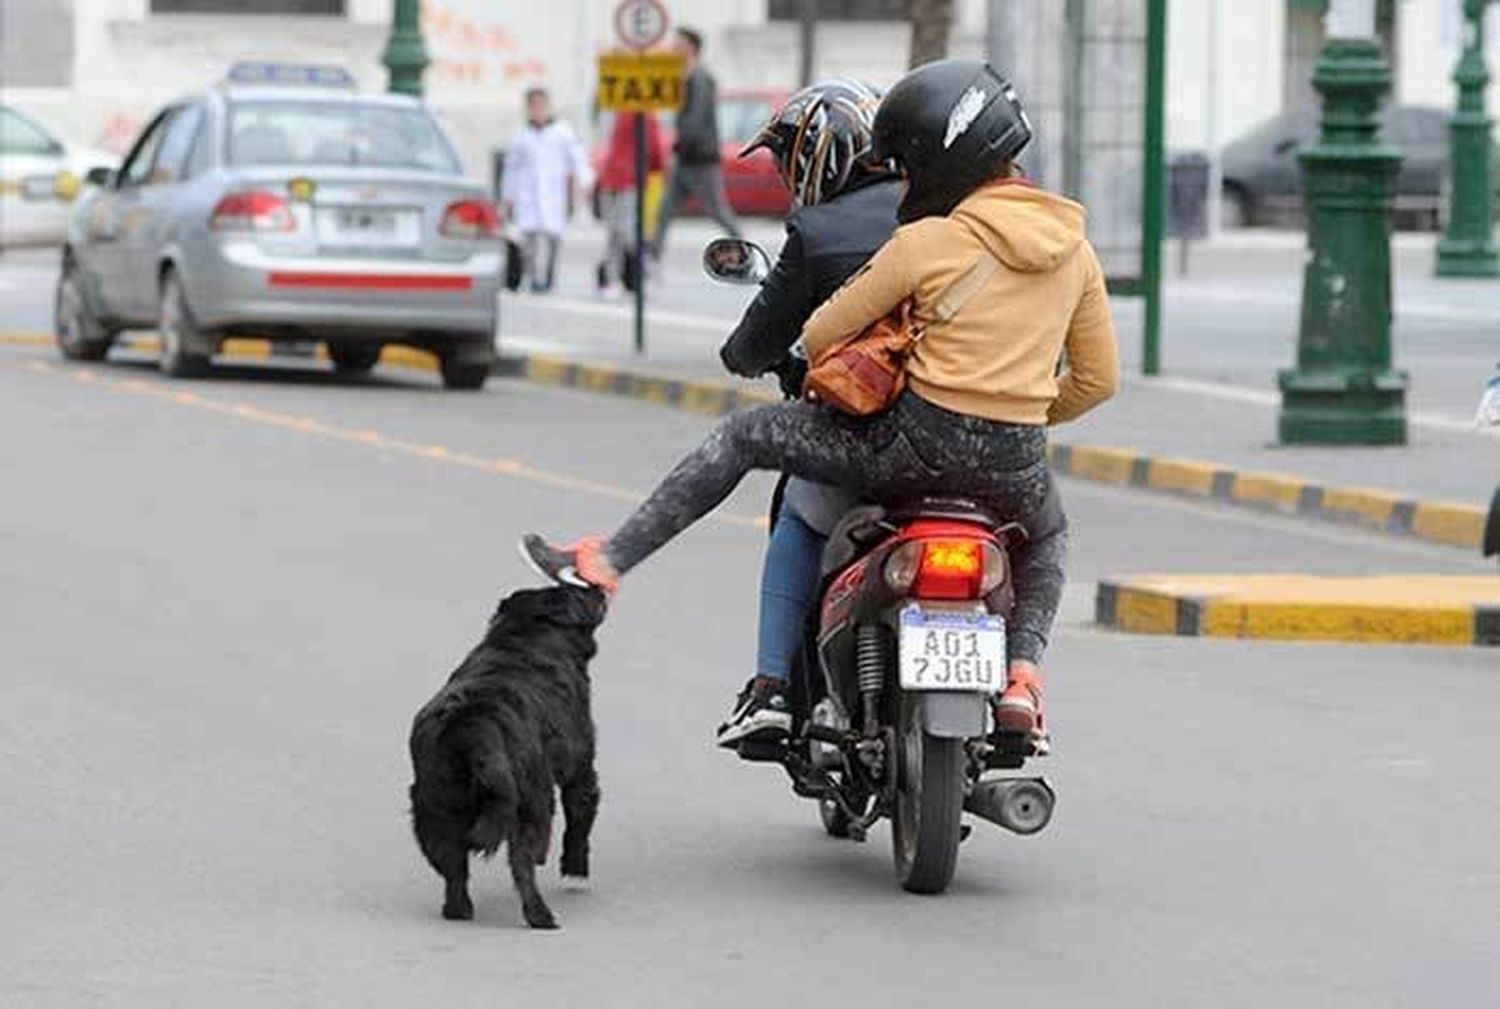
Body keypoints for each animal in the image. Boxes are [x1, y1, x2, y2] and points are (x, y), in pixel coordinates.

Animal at [411, 587, 609, 923]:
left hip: (435, 813)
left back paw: (458, 911)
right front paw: (575, 871)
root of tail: (471, 728)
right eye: (580, 595)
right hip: (532, 803)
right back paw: (541, 916)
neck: (527, 634)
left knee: (454, 872)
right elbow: (579, 824)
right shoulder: (581, 770)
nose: (597, 589)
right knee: (522, 866)